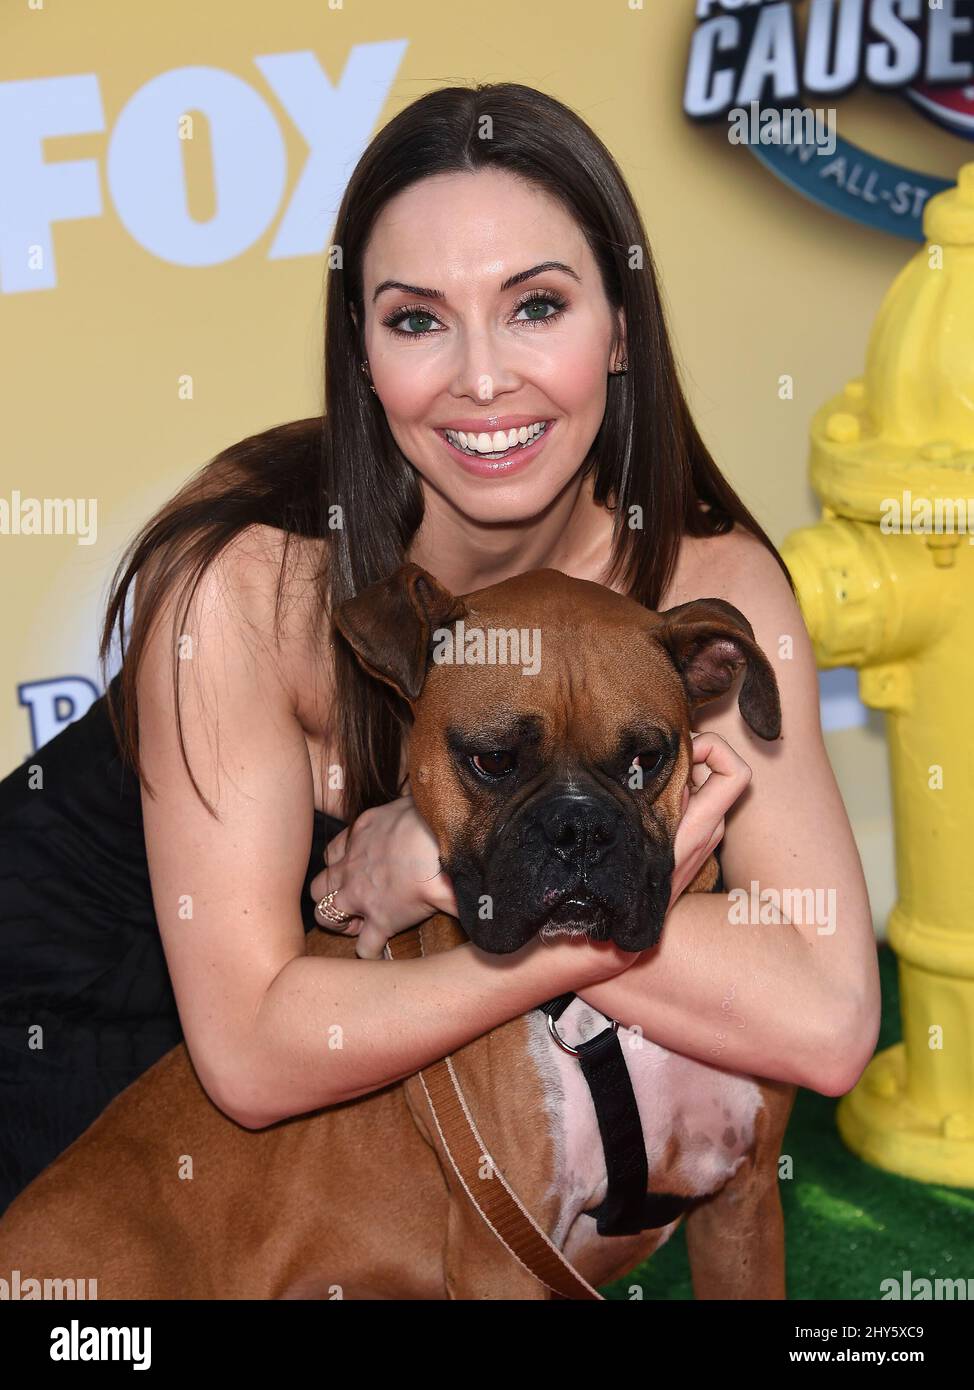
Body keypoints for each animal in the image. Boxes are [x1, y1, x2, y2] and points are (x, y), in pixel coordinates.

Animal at [0, 558, 794, 1295]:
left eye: (646, 759)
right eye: (493, 759)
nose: (579, 830)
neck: (601, 1027)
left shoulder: (744, 1207)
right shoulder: (499, 1256)